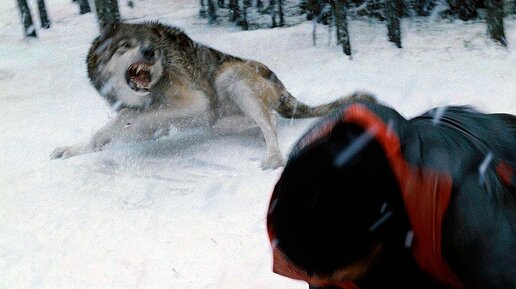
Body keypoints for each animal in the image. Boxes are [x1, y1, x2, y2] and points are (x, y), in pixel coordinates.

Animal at [51, 22, 374, 169]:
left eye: (144, 44)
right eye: (125, 46)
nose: (152, 51)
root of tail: (281, 87)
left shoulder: (196, 101)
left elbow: (130, 116)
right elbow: (104, 134)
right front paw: (72, 149)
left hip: (232, 80)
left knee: (269, 124)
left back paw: (272, 157)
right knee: (256, 121)